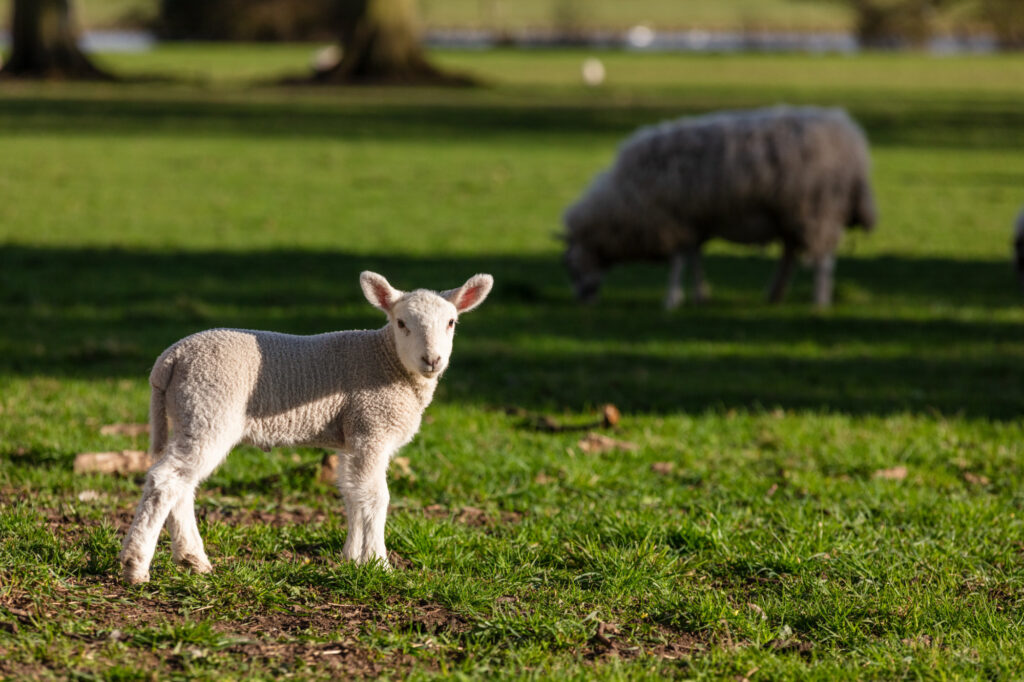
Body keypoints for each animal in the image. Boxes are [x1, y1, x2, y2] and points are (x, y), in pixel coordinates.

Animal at [119, 268, 495, 581]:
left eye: (451, 322)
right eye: (401, 323)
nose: (432, 359)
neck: (386, 359)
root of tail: (169, 359)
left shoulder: (353, 435)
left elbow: (352, 493)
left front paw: (352, 559)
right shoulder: (372, 427)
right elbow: (376, 496)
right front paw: (379, 564)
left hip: (186, 413)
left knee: (182, 484)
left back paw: (193, 560)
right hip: (209, 408)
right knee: (166, 479)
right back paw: (136, 565)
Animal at [565, 104, 876, 307]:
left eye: (571, 266)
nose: (582, 299)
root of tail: (852, 139)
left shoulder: (671, 220)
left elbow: (678, 261)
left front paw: (672, 299)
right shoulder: (690, 223)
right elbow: (694, 258)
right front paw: (700, 294)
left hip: (817, 209)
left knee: (823, 259)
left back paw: (819, 302)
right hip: (793, 214)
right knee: (790, 255)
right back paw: (775, 295)